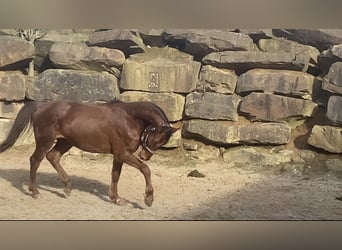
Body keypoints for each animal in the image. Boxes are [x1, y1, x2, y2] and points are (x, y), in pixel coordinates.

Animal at [0, 99, 176, 207]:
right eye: (156, 139)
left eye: (161, 143)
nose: (144, 156)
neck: (128, 118)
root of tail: (42, 105)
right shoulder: (122, 153)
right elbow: (145, 169)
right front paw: (148, 198)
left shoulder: (118, 155)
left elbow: (115, 175)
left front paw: (116, 198)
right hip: (45, 142)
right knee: (35, 161)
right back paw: (35, 192)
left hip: (66, 142)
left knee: (53, 157)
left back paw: (67, 187)